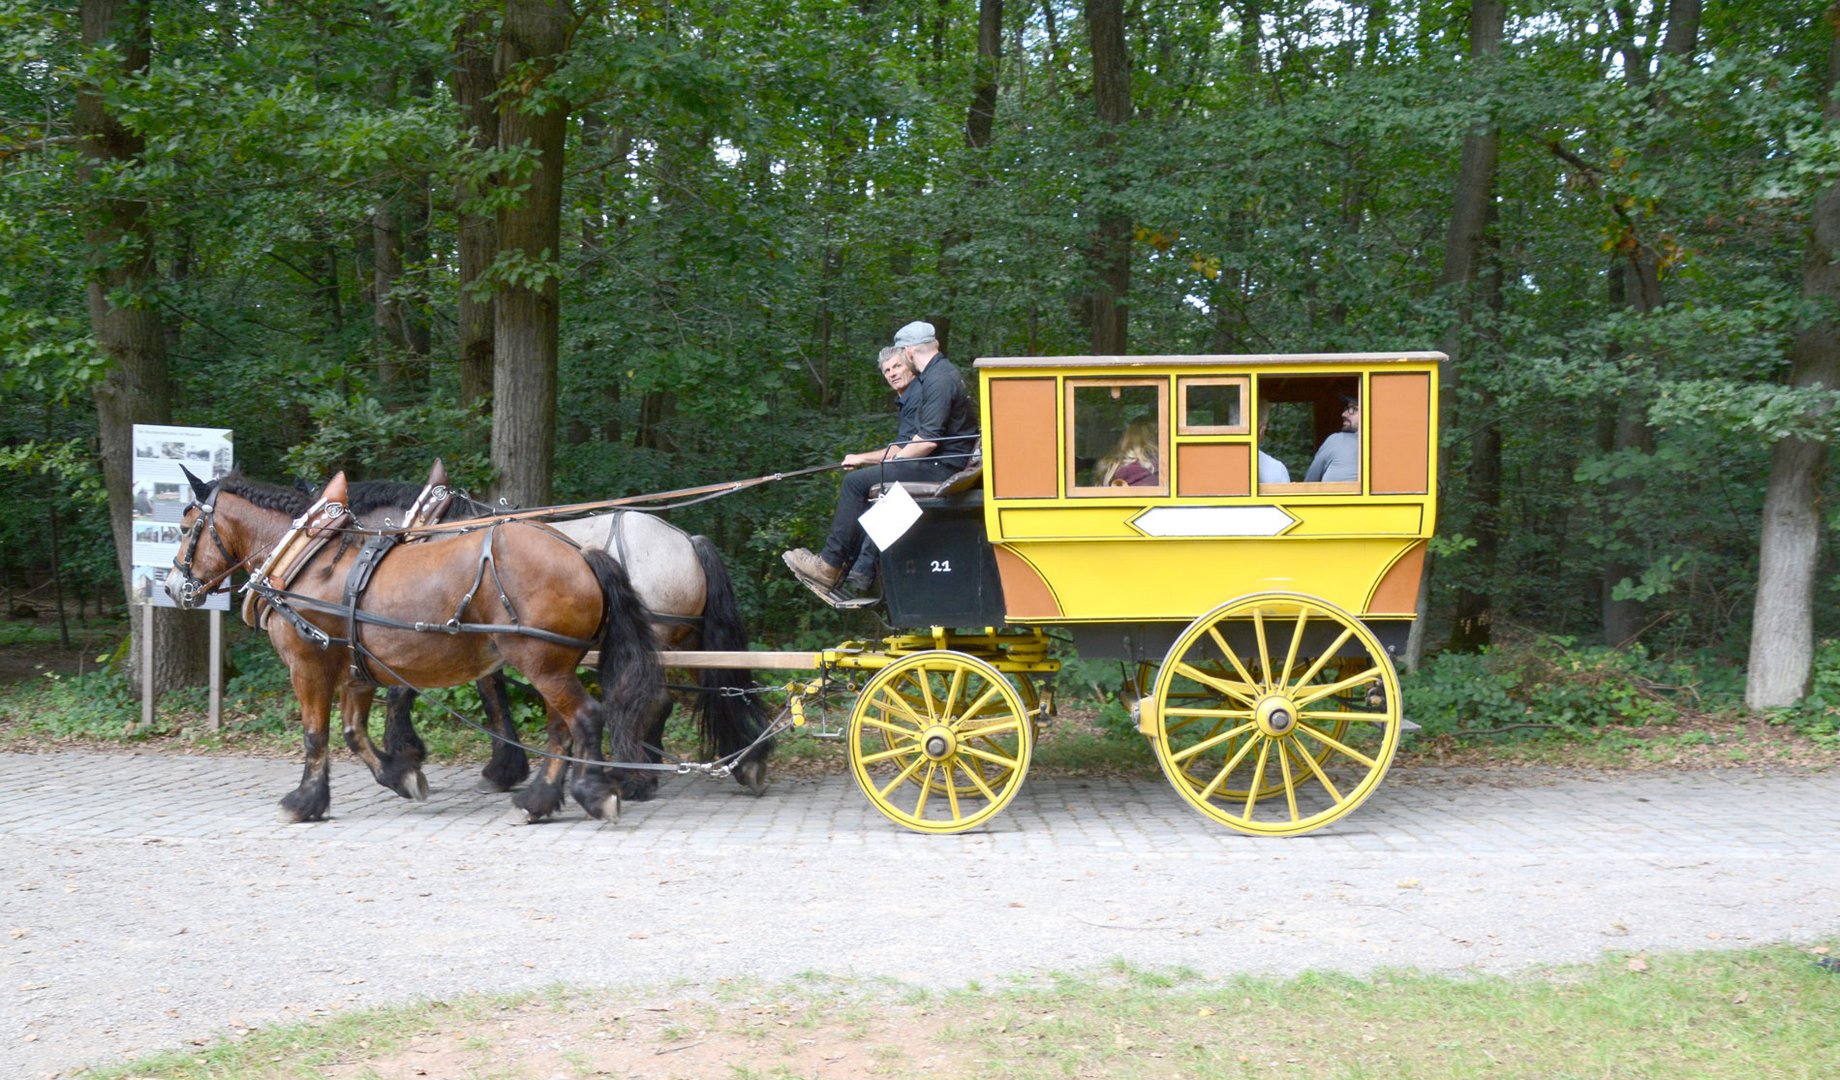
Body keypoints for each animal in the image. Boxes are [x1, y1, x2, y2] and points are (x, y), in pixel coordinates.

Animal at [167, 469, 662, 824]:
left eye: (186, 526)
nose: (173, 587)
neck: (304, 561)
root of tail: (581, 554)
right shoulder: (357, 671)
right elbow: (353, 732)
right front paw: (401, 775)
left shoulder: (308, 665)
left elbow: (315, 734)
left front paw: (304, 800)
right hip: (553, 661)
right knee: (563, 727)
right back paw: (538, 800)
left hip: (539, 660)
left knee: (584, 717)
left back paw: (591, 793)